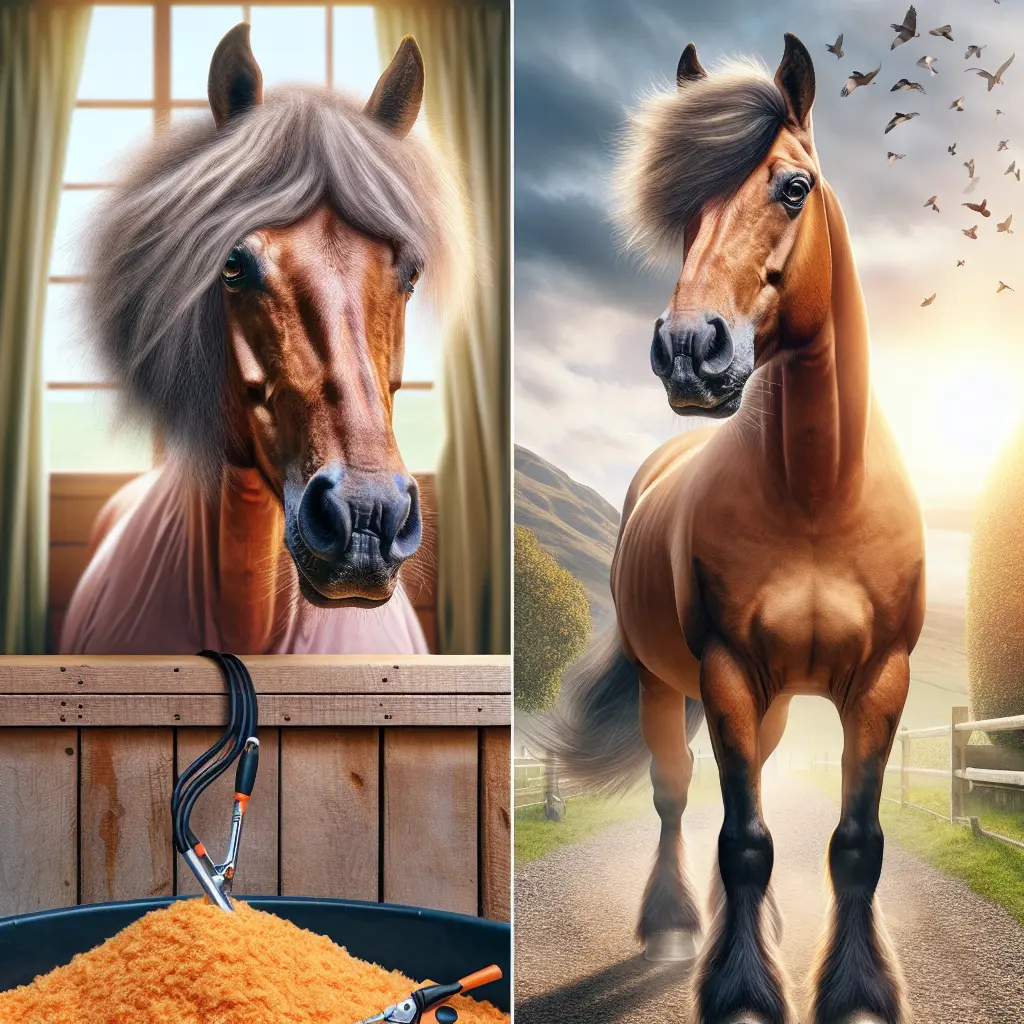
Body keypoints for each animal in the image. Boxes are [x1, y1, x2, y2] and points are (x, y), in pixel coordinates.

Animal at [539, 35, 924, 1024]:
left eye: (792, 187)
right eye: (682, 207)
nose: (688, 350)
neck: (818, 496)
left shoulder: (881, 678)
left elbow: (855, 842)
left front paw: (857, 990)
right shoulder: (724, 671)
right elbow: (743, 837)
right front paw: (743, 989)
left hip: (778, 703)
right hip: (667, 684)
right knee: (680, 796)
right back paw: (680, 925)